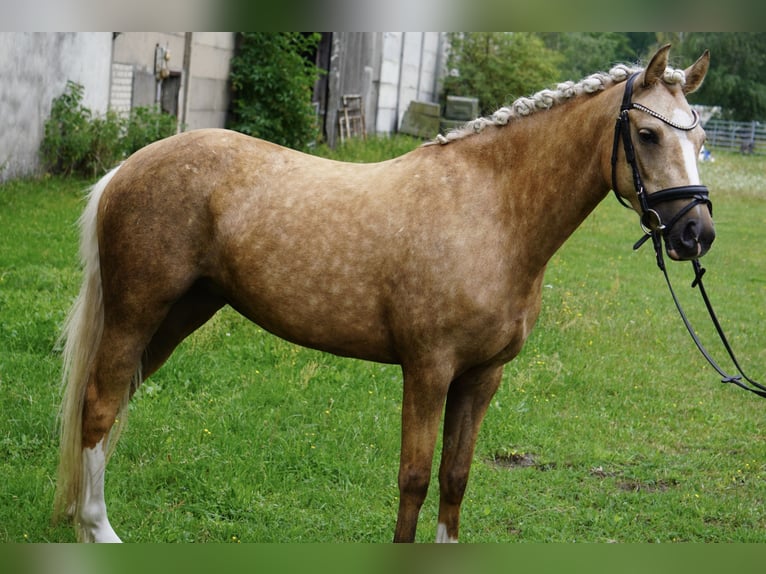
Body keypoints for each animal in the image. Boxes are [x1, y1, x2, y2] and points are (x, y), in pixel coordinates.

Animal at [52, 45, 712, 544]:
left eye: (701, 137)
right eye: (648, 134)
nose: (696, 234)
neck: (489, 211)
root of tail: (127, 168)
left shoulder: (482, 377)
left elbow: (455, 476)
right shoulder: (428, 369)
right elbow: (414, 478)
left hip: (178, 315)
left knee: (111, 404)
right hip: (136, 314)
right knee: (100, 407)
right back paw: (100, 529)